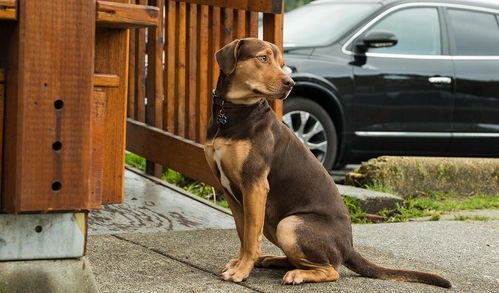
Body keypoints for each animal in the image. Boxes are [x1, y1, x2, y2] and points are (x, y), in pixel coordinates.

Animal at [203, 37, 454, 288]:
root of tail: (349, 248)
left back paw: (296, 274)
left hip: (289, 224)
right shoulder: (231, 190)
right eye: (263, 58)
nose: (290, 83)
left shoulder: (255, 185)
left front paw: (242, 270)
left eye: (282, 63)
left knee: (331, 270)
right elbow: (242, 231)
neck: (231, 112)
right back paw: (272, 259)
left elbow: (250, 236)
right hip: (274, 223)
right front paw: (241, 263)